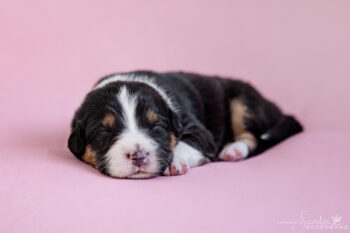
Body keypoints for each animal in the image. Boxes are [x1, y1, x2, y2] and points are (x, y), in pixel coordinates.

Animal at [68, 71, 304, 178]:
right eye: (104, 131)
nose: (139, 156)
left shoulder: (200, 132)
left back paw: (233, 150)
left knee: (252, 136)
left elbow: (186, 143)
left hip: (243, 100)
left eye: (157, 127)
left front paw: (174, 162)